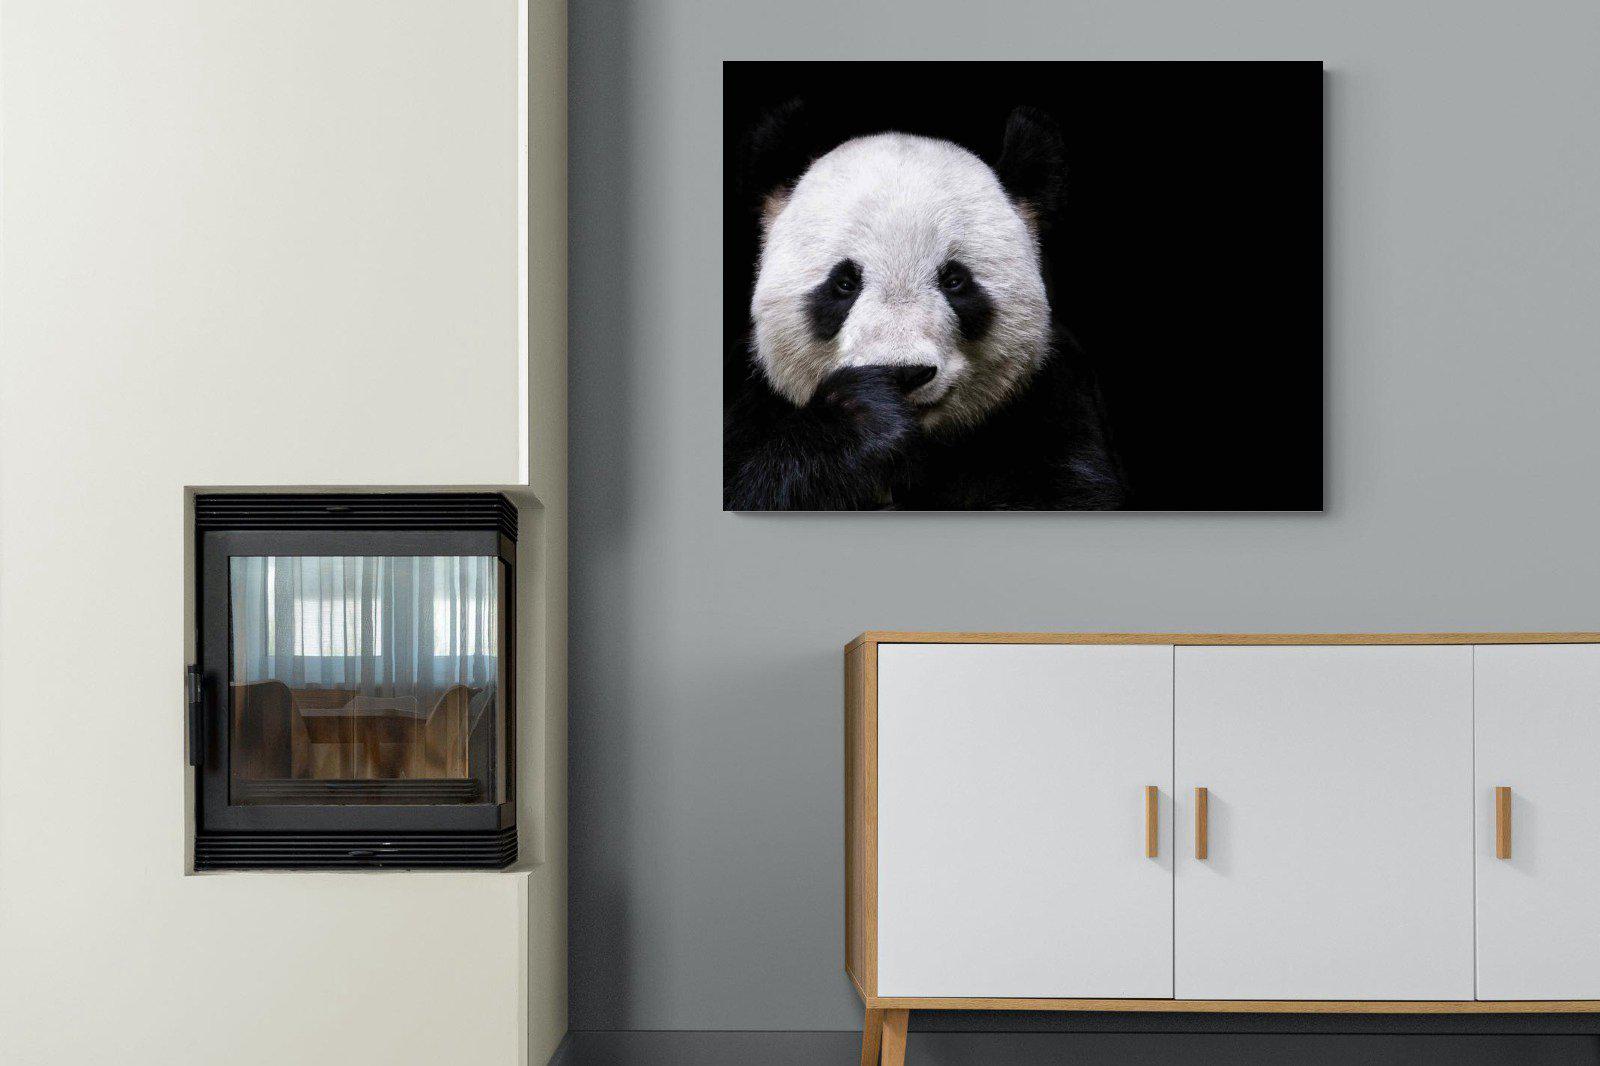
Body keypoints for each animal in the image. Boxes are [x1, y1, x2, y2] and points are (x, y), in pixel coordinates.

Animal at [724, 105, 1128, 511]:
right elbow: (750, 486)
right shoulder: (748, 398)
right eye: (844, 283)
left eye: (955, 280)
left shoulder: (1053, 401)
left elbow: (1067, 493)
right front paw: (862, 415)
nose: (904, 373)